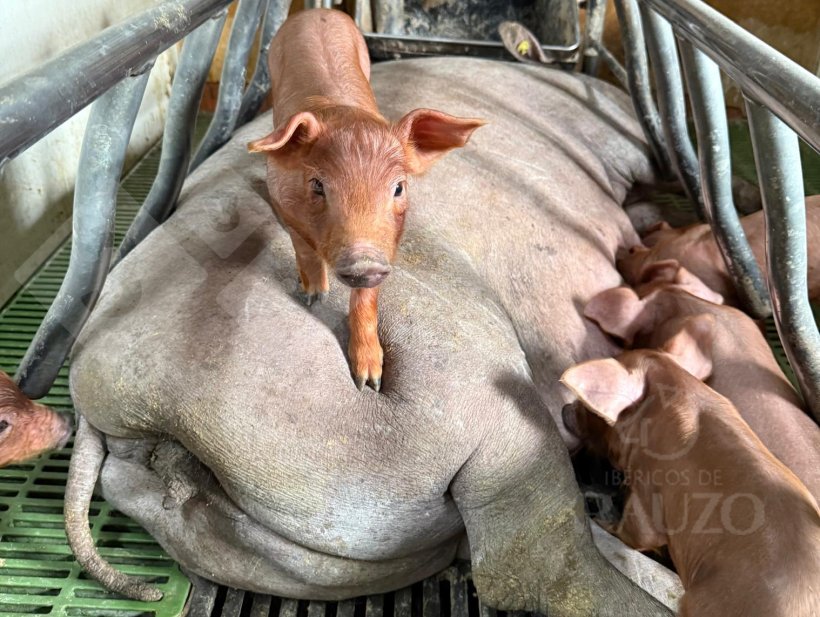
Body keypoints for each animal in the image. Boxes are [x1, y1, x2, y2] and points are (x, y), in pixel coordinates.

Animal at [247, 9, 484, 391]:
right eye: (318, 185)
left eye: (399, 188)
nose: (364, 261)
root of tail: (317, 12)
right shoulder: (282, 199)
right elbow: (303, 249)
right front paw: (314, 296)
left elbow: (366, 300)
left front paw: (369, 381)